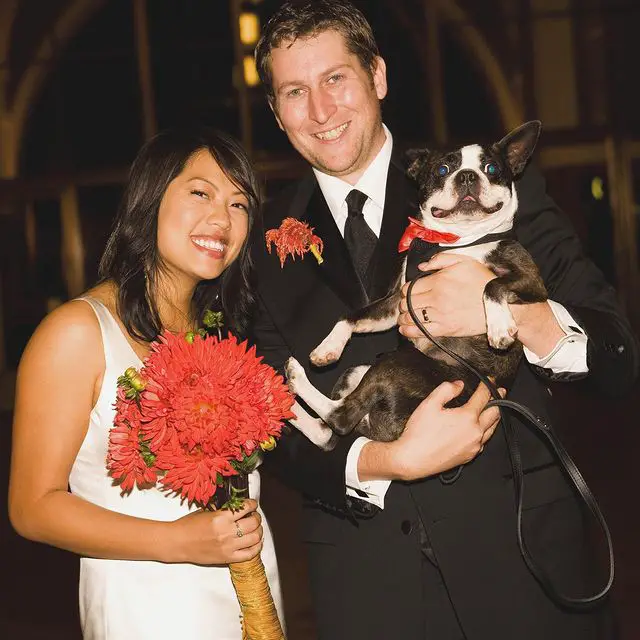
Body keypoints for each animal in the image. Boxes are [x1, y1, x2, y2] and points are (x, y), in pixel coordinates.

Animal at [288, 121, 548, 450]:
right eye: (442, 170)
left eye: (491, 168)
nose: (467, 175)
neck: (453, 241)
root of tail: (390, 428)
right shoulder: (395, 303)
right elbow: (352, 315)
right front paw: (328, 347)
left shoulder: (533, 281)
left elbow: (491, 284)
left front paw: (500, 328)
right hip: (358, 371)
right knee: (329, 430)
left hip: (397, 363)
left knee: (340, 419)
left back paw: (296, 381)